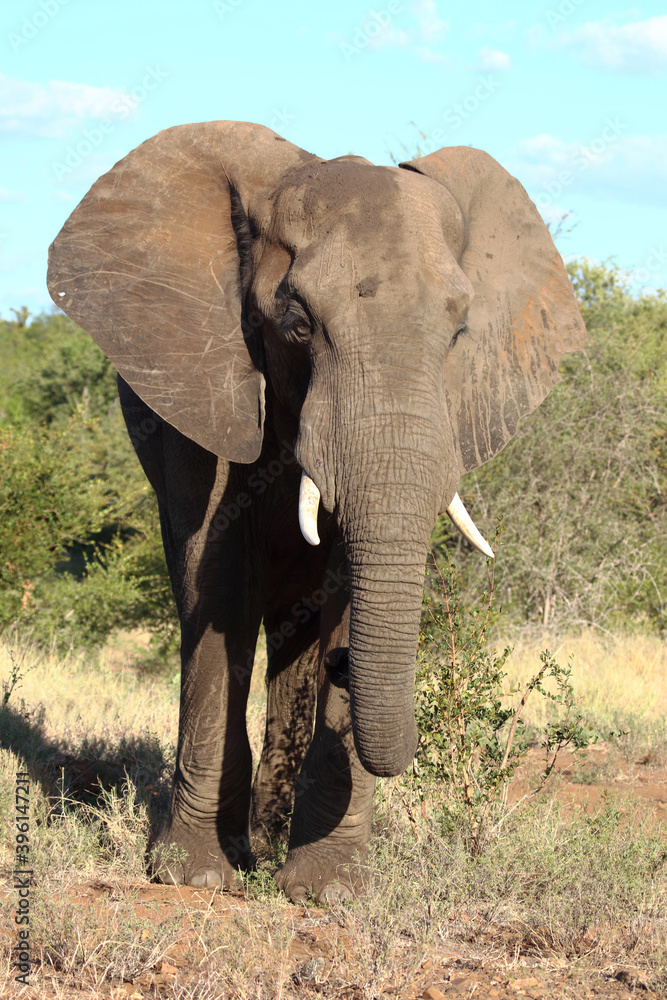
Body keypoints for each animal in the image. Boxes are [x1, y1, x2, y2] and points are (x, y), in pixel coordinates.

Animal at [47, 121, 585, 902]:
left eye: (458, 333)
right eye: (297, 324)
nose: (342, 663)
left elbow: (340, 581)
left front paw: (328, 890)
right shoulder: (203, 381)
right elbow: (216, 578)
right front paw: (193, 876)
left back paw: (273, 841)